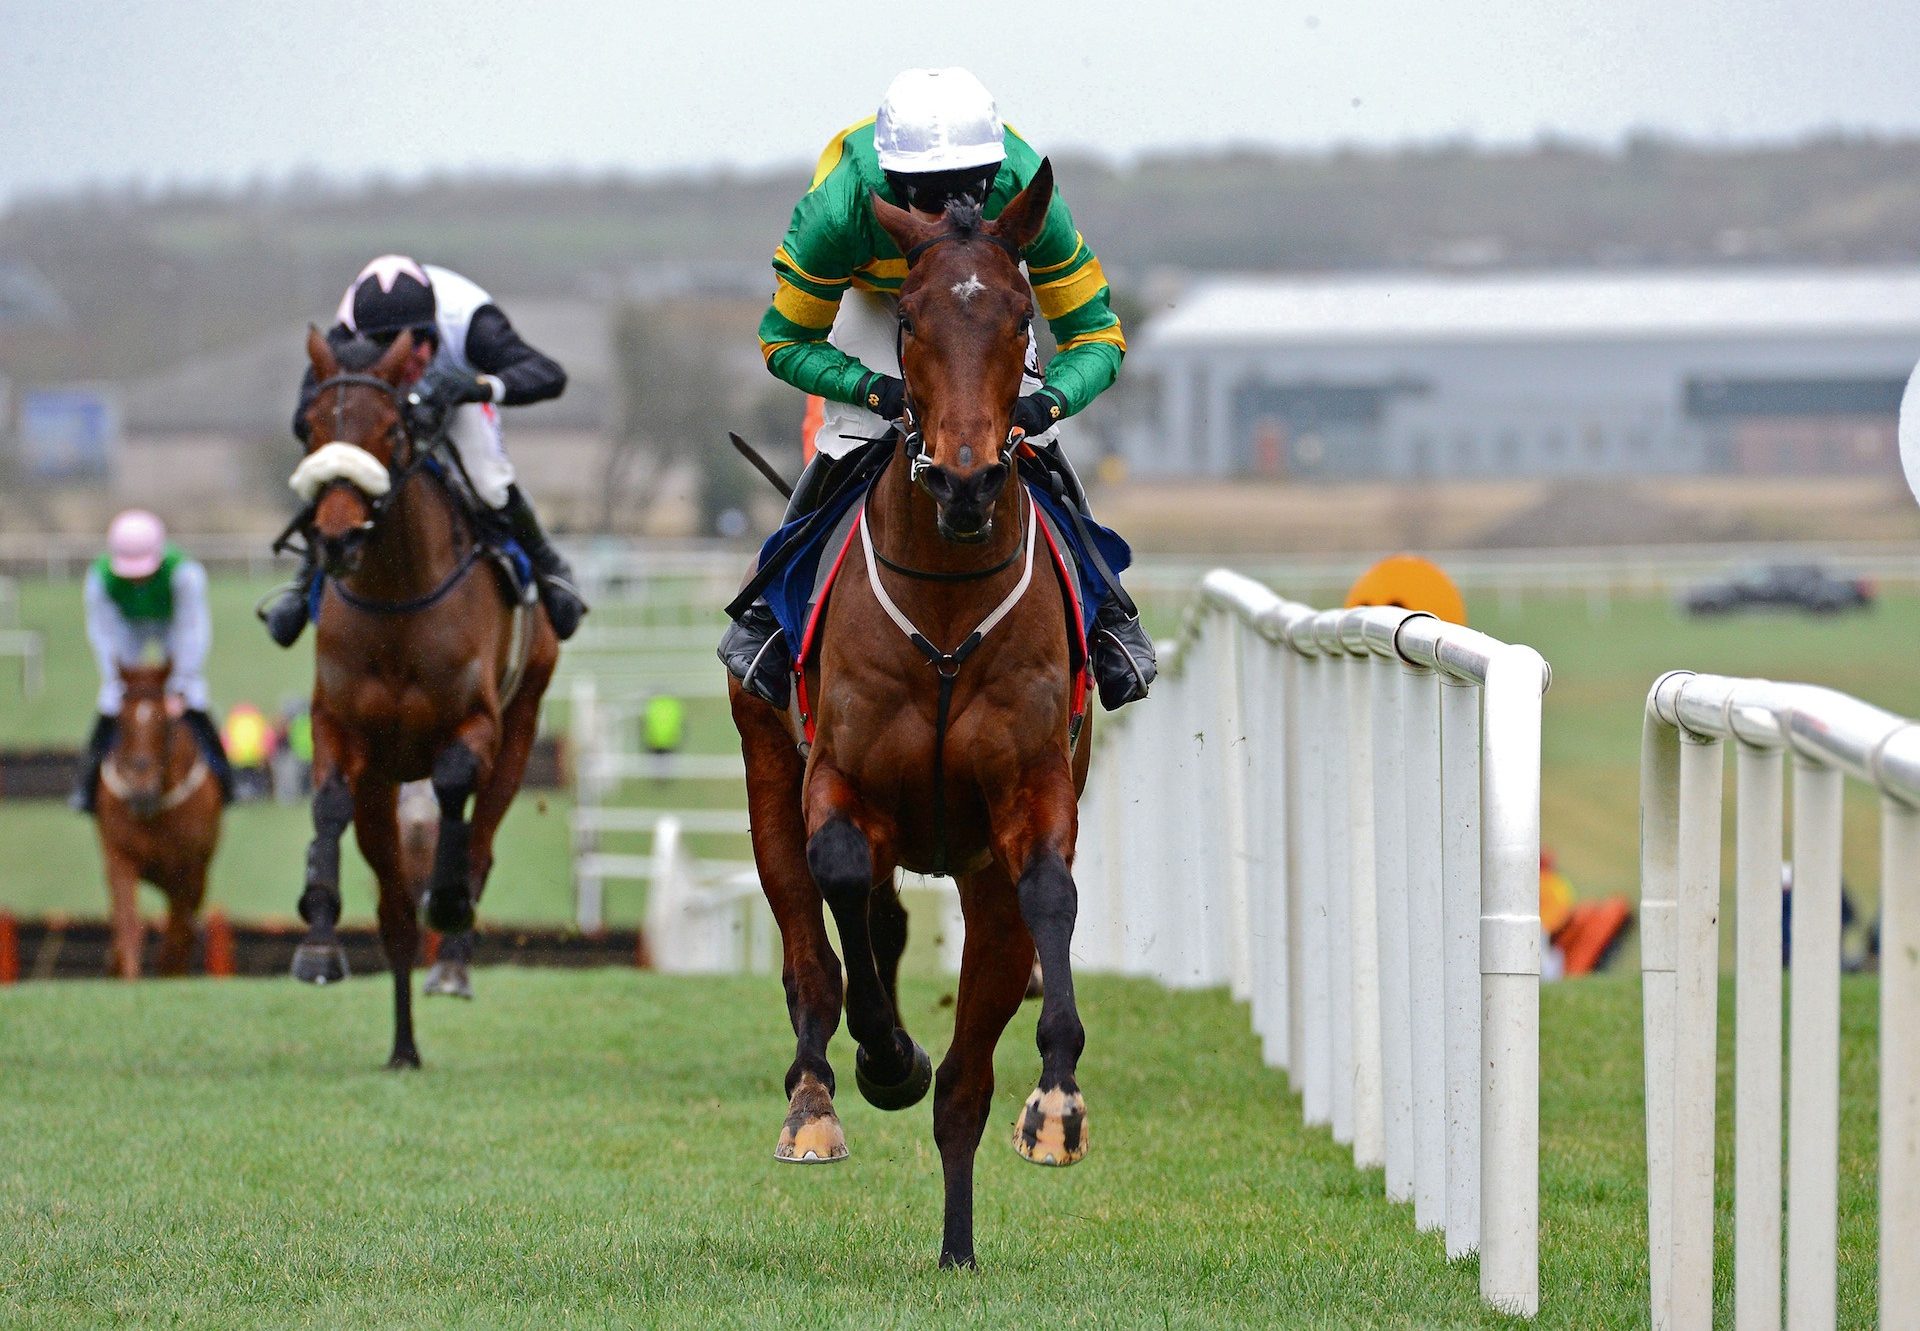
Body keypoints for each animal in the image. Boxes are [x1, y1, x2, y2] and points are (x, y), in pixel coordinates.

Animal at [93, 660, 222, 975]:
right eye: (120, 720)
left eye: (164, 721)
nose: (140, 786)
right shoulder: (119, 857)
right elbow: (128, 924)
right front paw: (128, 973)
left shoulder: (188, 869)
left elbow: (177, 934)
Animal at [291, 326, 560, 1067]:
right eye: (310, 426)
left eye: (390, 427)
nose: (336, 538)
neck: (396, 598)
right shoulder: (340, 728)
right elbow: (328, 802)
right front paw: (318, 936)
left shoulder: (476, 723)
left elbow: (453, 784)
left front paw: (447, 901)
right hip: (383, 789)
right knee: (392, 912)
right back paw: (404, 1046)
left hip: (521, 730)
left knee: (480, 842)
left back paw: (452, 960)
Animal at [729, 161, 1098, 1275]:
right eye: (908, 327)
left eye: (1021, 316)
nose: (969, 477)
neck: (943, 603)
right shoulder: (839, 781)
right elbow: (845, 878)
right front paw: (885, 1056)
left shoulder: (1031, 789)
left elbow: (1051, 890)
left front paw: (1058, 1100)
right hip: (766, 778)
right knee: (810, 950)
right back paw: (816, 1099)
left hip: (975, 879)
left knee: (967, 1075)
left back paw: (958, 1244)